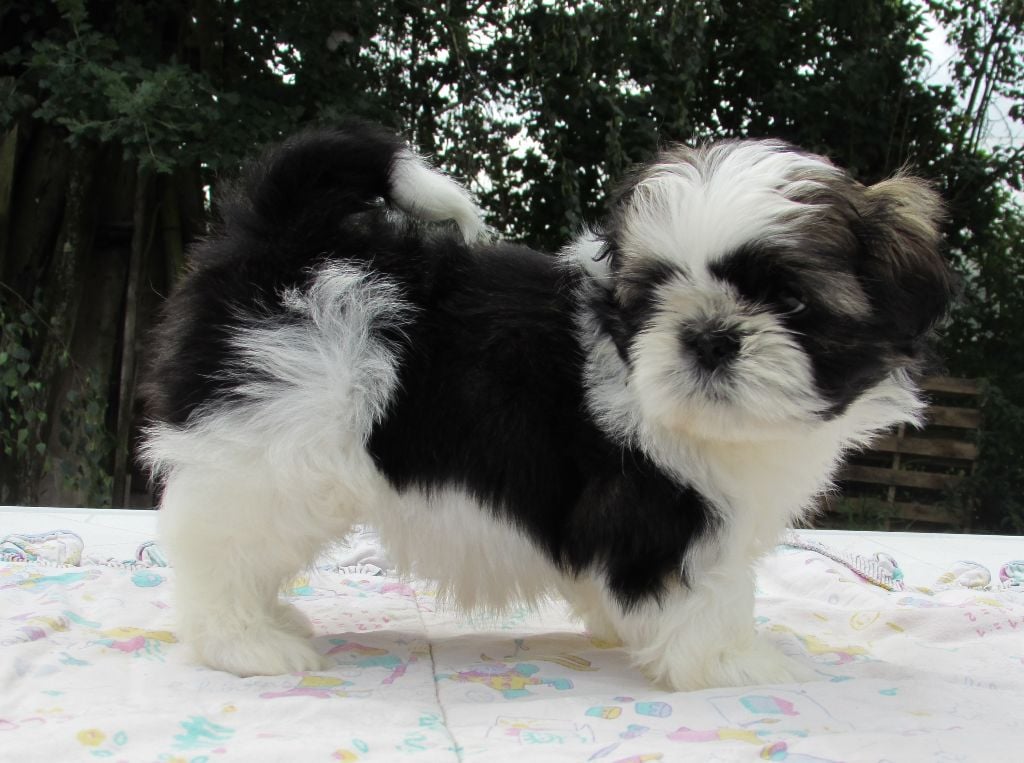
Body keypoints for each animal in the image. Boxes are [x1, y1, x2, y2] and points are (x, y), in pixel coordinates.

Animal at [141, 121, 954, 690]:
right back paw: (246, 642)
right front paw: (736, 661)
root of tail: (279, 243)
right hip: (270, 445)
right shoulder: (666, 512)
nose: (708, 334)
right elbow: (706, 590)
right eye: (656, 293)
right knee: (219, 545)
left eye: (791, 301)